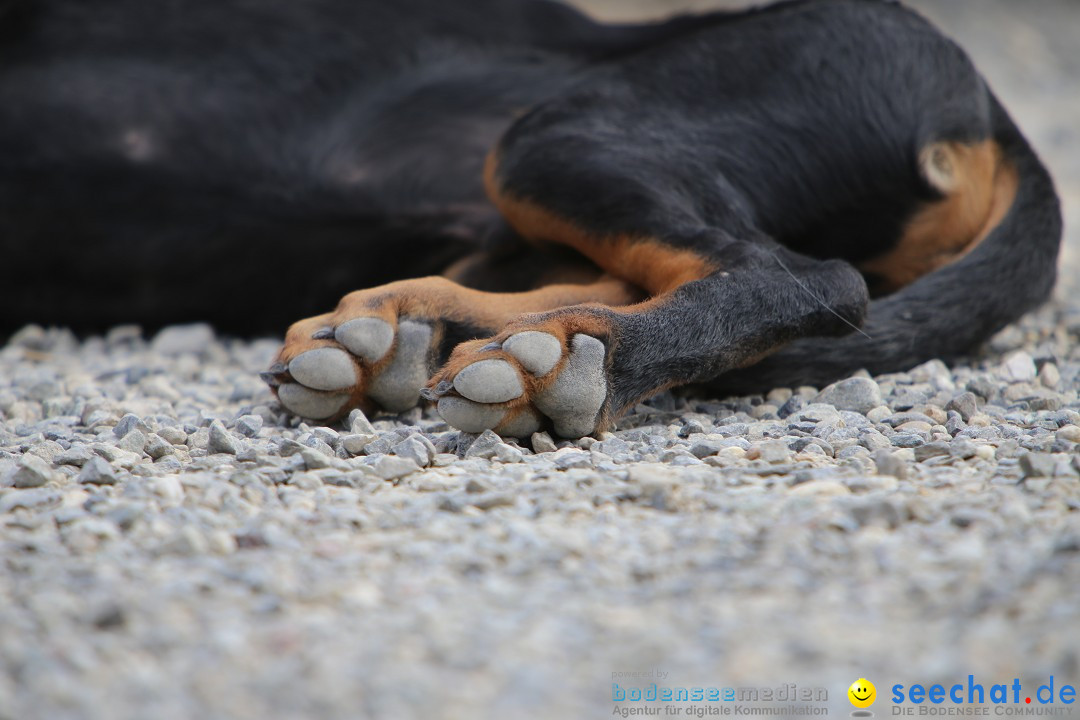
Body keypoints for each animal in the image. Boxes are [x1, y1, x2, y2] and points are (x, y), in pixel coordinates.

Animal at [2, 0, 1062, 440]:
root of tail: (990, 108)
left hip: (555, 134)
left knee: (804, 276)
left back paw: (550, 364)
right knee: (603, 280)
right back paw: (419, 339)